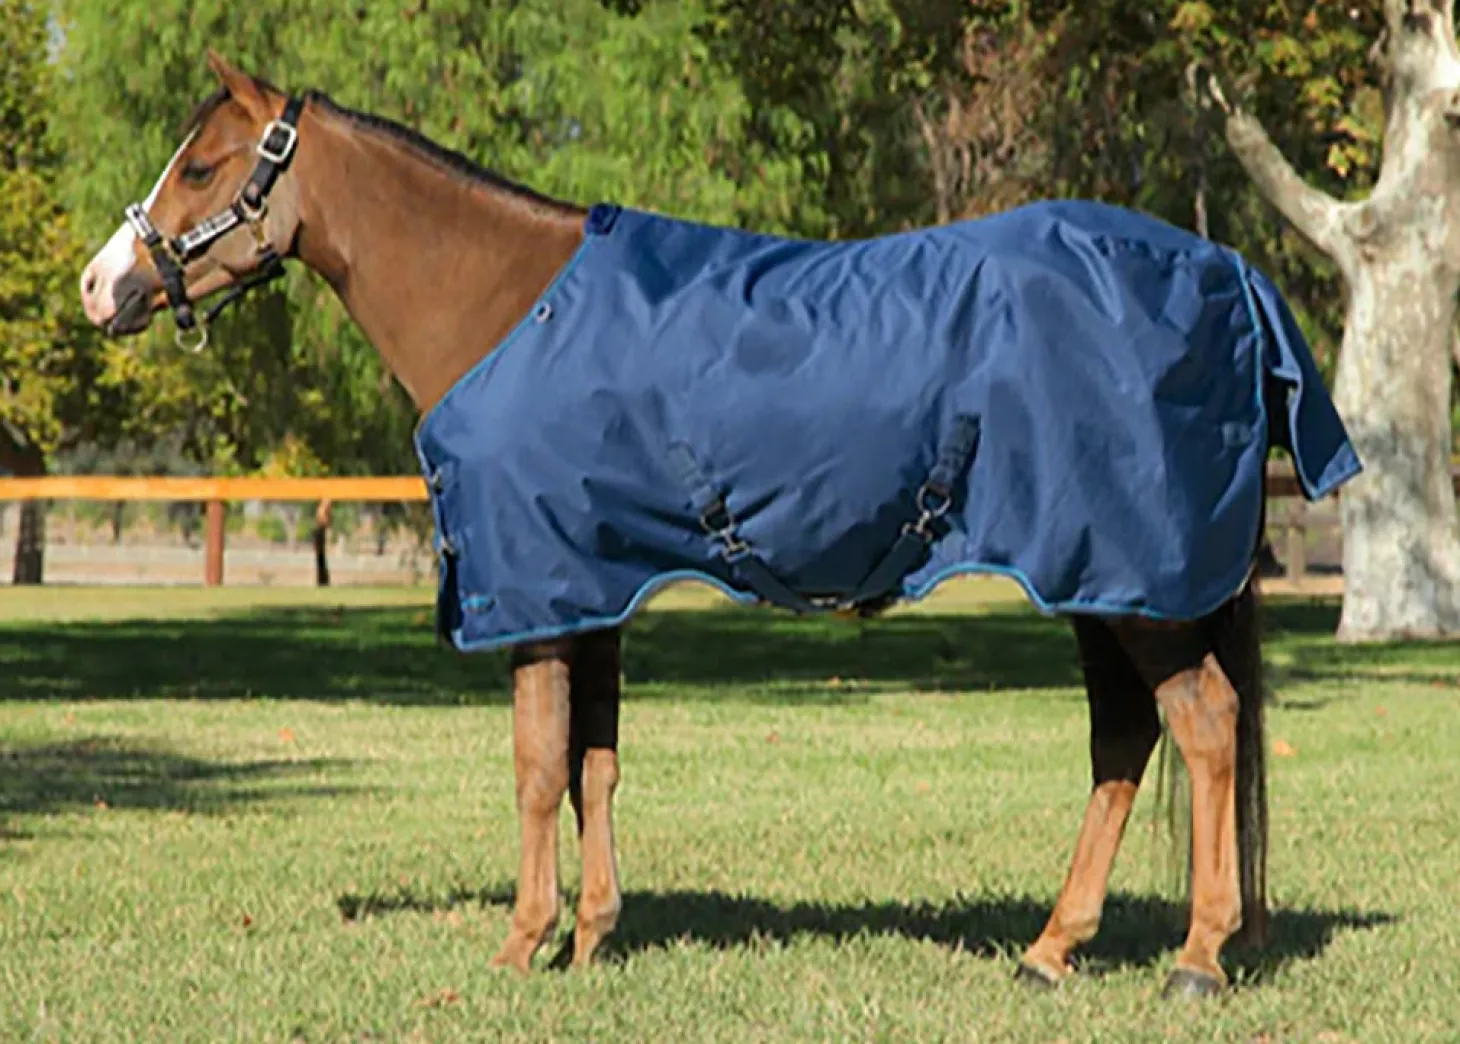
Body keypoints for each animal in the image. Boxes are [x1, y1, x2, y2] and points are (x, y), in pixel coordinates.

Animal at [78, 53, 1360, 996]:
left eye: (203, 166)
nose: (102, 286)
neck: (512, 307)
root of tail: (1226, 269)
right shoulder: (591, 590)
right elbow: (593, 764)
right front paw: (592, 936)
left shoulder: (535, 596)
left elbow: (536, 768)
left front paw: (520, 945)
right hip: (1102, 581)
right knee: (1125, 740)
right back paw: (1050, 951)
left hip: (1135, 585)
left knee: (1201, 726)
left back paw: (1195, 960)